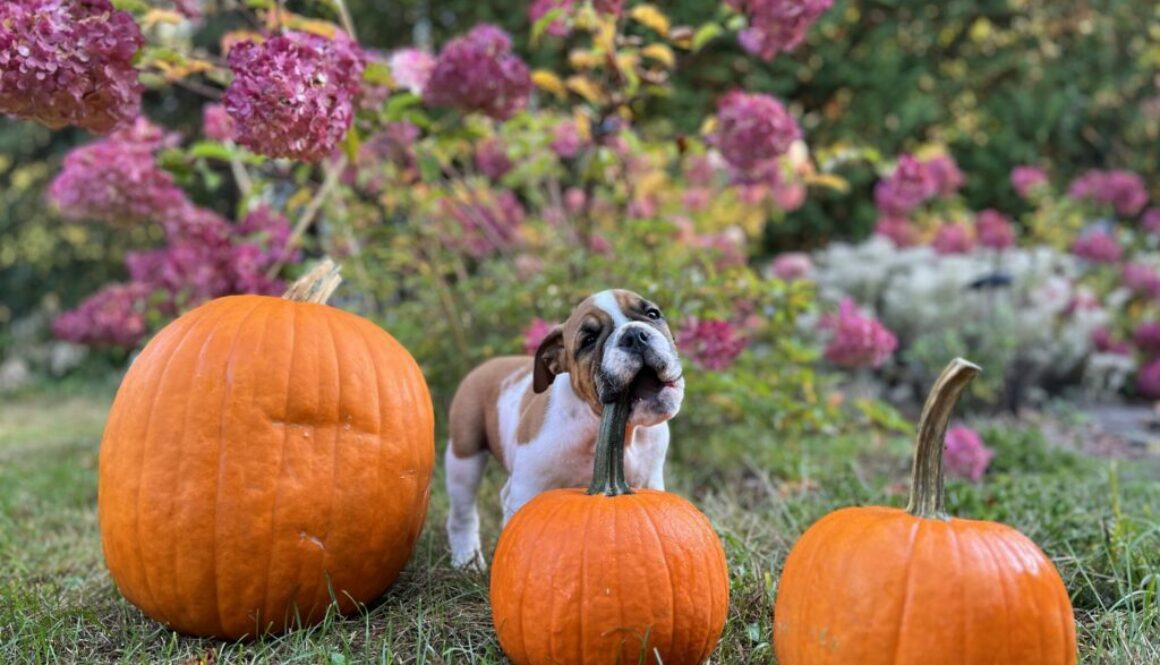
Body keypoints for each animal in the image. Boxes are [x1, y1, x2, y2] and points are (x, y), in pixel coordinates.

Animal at [440, 287, 677, 568]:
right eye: (588, 340)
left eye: (653, 314)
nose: (634, 336)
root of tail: (487, 365)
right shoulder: (527, 489)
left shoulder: (651, 477)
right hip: (464, 457)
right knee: (462, 513)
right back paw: (467, 560)